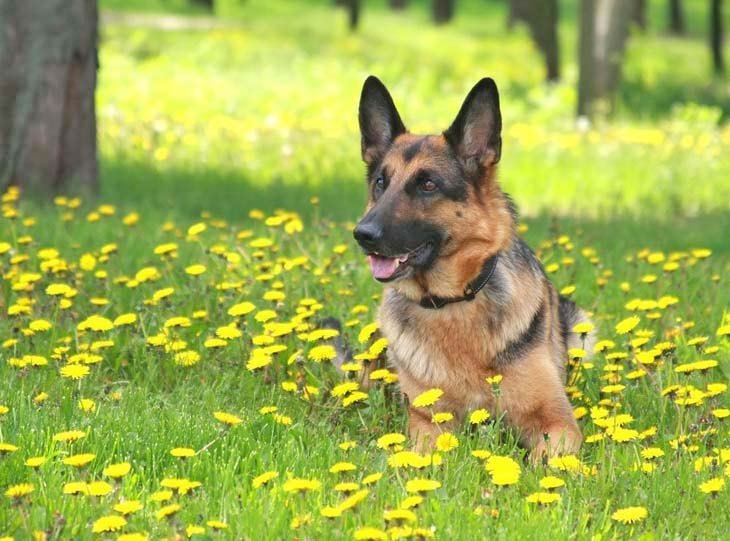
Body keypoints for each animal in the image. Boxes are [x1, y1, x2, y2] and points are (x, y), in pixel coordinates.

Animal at [352, 75, 592, 456]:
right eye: (380, 183)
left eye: (428, 185)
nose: (363, 234)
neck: (454, 301)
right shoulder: (427, 422)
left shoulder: (556, 421)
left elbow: (550, 456)